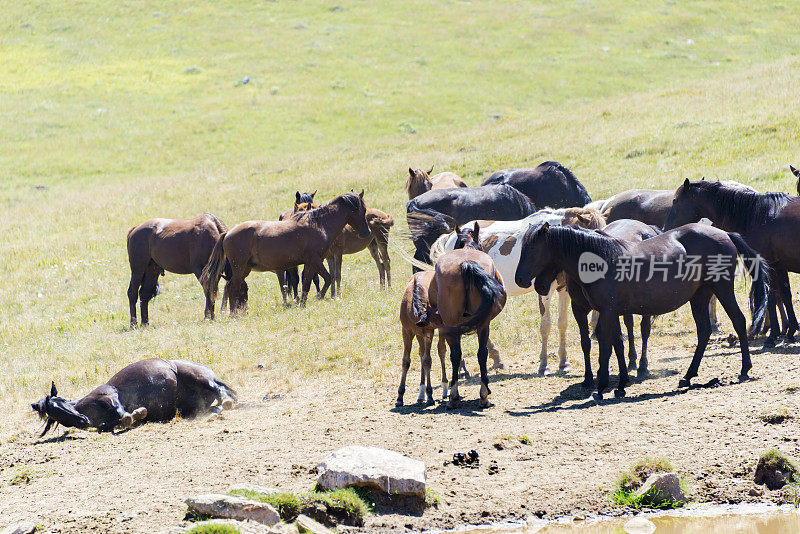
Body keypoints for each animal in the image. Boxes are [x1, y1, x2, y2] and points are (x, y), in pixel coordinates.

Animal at [32, 360, 238, 436]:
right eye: (55, 417)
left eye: (61, 401)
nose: (83, 420)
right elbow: (107, 425)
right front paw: (137, 414)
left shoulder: (109, 395)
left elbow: (122, 413)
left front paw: (135, 414)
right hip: (197, 403)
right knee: (216, 404)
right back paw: (214, 412)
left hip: (199, 378)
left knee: (220, 391)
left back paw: (227, 402)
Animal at [200, 192, 368, 312]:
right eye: (362, 209)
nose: (365, 232)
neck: (318, 224)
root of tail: (227, 234)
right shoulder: (315, 260)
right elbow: (328, 278)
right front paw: (319, 296)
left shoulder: (310, 263)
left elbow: (306, 283)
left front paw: (302, 303)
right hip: (239, 267)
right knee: (233, 287)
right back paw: (235, 313)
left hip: (244, 269)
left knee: (231, 286)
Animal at [424, 224, 506, 408]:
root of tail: (467, 263)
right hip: (482, 324)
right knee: (481, 353)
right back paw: (484, 395)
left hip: (452, 325)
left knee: (455, 355)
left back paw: (453, 396)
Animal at [512, 222, 768, 402]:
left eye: (532, 248)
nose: (521, 279)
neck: (601, 260)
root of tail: (725, 234)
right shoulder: (611, 312)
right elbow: (617, 344)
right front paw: (620, 385)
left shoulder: (607, 312)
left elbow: (605, 348)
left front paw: (601, 387)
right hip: (700, 296)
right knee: (704, 331)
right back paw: (688, 375)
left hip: (722, 289)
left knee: (738, 321)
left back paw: (744, 368)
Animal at [664, 180, 800, 348]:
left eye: (675, 200)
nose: (666, 228)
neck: (757, 216)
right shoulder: (778, 266)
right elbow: (784, 295)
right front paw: (790, 331)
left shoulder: (769, 266)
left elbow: (771, 298)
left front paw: (773, 336)